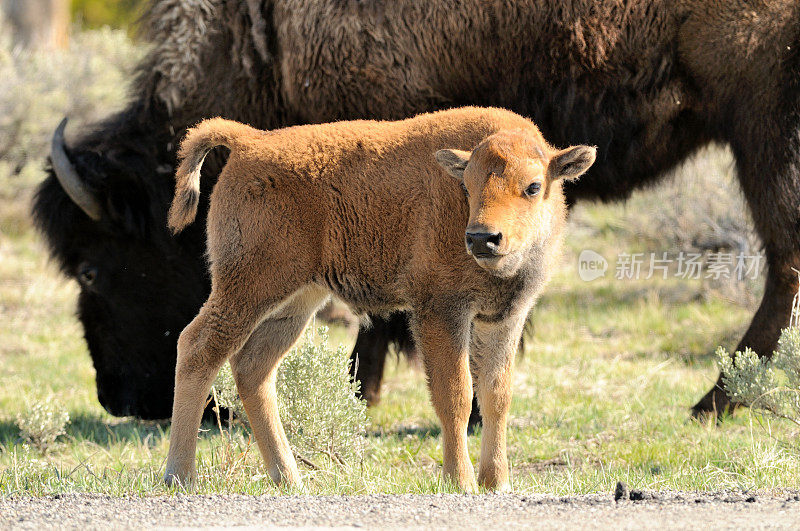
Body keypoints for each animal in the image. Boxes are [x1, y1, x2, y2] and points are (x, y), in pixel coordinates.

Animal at [34, 0, 800, 422]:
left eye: (94, 269)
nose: (122, 399)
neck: (262, 34)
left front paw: (375, 388)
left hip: (763, 124)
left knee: (783, 256)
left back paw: (716, 401)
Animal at [164, 108, 592, 494]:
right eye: (467, 185)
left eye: (533, 186)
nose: (481, 238)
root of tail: (249, 141)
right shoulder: (441, 312)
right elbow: (454, 396)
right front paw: (462, 483)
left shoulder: (503, 318)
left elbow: (495, 396)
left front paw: (498, 482)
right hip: (247, 288)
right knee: (198, 348)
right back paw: (180, 476)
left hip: (294, 302)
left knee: (253, 368)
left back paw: (289, 478)